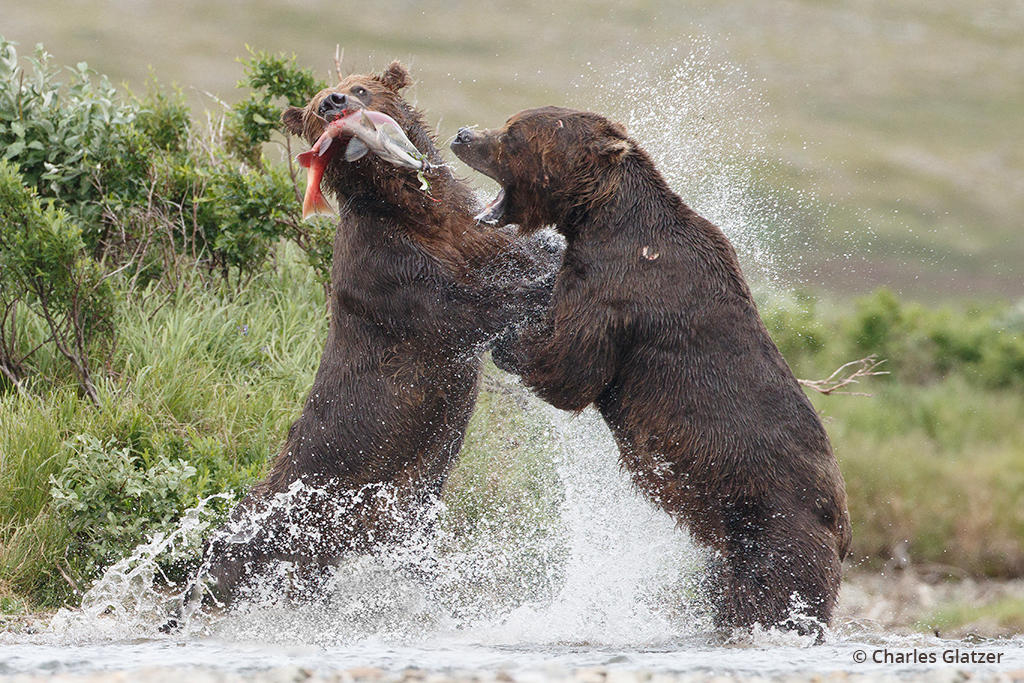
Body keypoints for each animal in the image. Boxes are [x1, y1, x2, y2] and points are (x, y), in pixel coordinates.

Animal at [188, 63, 557, 610]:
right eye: (315, 106)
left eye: (359, 88)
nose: (333, 103)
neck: (413, 209)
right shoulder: (388, 269)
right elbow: (461, 309)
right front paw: (547, 285)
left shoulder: (469, 234)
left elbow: (511, 257)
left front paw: (552, 255)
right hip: (301, 516)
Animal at [452, 105, 851, 634]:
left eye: (512, 133)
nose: (463, 134)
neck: (601, 218)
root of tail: (843, 525)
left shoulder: (620, 289)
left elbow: (571, 370)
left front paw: (505, 338)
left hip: (774, 524)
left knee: (774, 596)